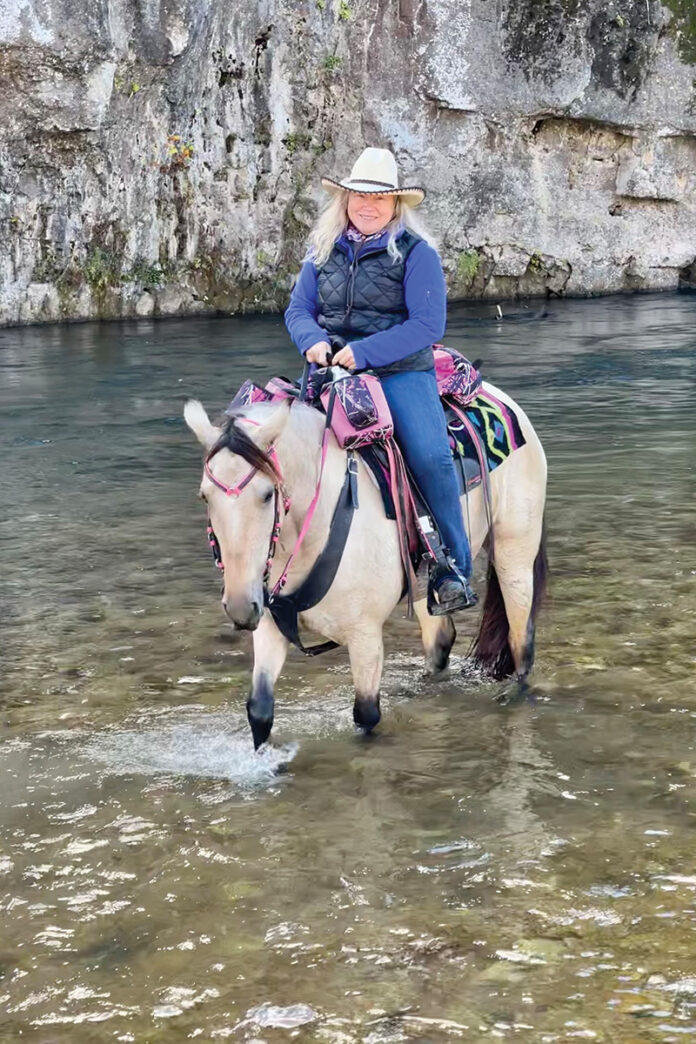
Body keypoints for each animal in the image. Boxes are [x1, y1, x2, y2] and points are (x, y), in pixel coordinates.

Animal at [184, 384, 547, 749]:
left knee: (522, 641)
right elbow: (259, 711)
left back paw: (514, 696)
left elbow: (366, 715)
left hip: (514, 553)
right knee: (440, 640)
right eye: (204, 496)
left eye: (267, 494)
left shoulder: (365, 635)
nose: (241, 608)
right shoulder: (272, 623)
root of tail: (500, 398)